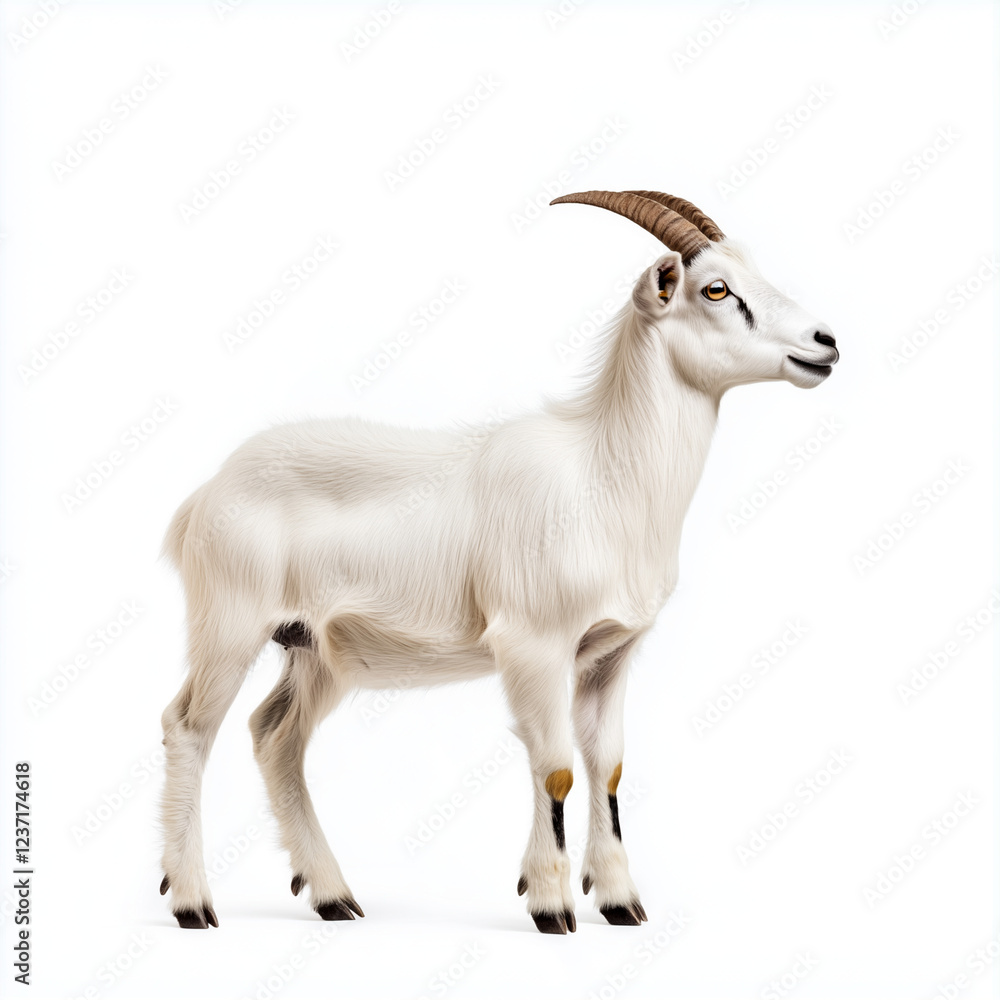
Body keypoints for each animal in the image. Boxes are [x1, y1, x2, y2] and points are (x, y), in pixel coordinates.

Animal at [158, 190, 838, 933]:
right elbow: (555, 767)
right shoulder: (533, 644)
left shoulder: (610, 652)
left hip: (314, 649)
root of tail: (204, 495)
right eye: (715, 288)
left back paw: (334, 896)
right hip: (230, 625)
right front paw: (551, 906)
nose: (825, 343)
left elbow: (607, 766)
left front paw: (620, 901)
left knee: (275, 736)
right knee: (188, 727)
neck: (603, 476)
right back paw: (192, 903)